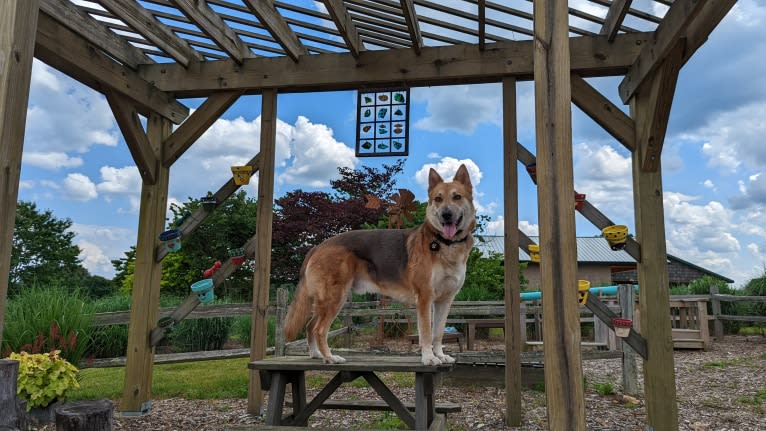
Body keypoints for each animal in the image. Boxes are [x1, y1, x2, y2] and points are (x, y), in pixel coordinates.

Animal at [284, 165, 474, 364]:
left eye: (457, 197)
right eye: (438, 199)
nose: (446, 215)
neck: (446, 244)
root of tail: (318, 247)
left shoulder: (444, 301)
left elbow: (438, 333)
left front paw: (440, 355)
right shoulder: (425, 298)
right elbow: (426, 333)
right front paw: (429, 358)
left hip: (329, 301)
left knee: (310, 326)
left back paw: (316, 354)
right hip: (334, 298)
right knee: (319, 329)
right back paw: (329, 357)